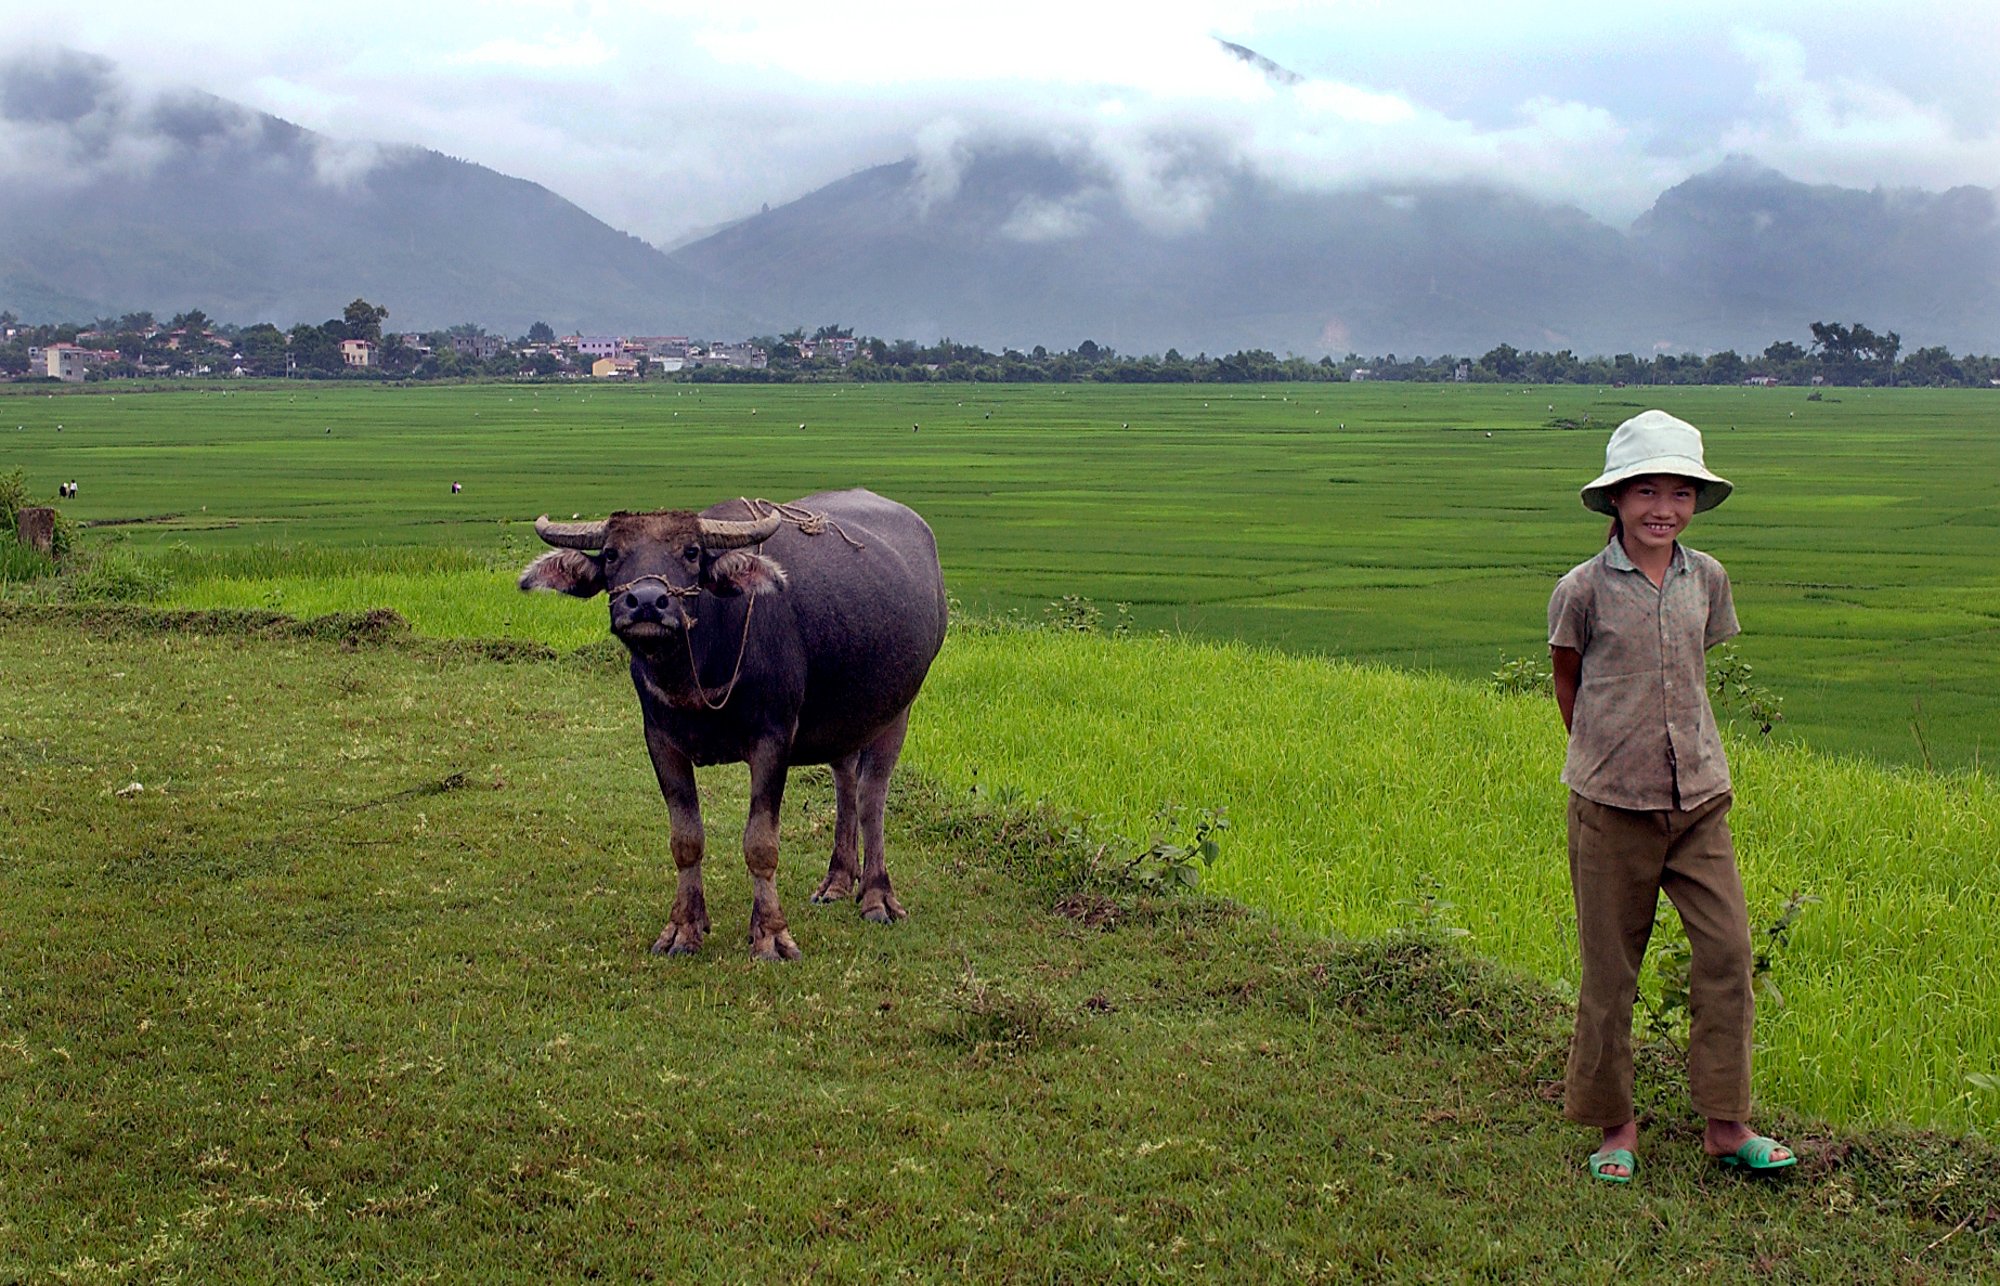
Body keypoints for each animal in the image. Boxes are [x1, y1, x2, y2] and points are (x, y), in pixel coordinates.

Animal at [520, 488, 948, 960]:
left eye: (691, 552)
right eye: (612, 553)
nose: (648, 602)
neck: (699, 666)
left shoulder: (773, 739)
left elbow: (760, 844)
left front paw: (771, 935)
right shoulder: (660, 741)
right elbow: (685, 839)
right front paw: (684, 928)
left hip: (899, 709)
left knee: (872, 796)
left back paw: (876, 898)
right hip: (845, 720)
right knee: (846, 785)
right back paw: (836, 882)